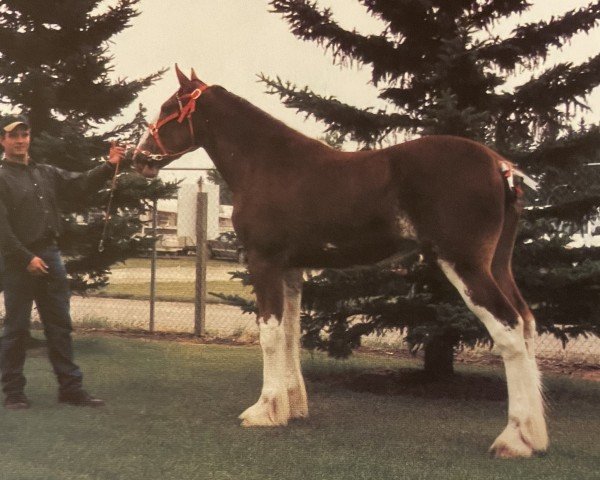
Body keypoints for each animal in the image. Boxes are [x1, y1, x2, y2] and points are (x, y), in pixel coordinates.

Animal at [135, 65, 548, 460]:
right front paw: (292, 407)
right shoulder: (291, 269)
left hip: (466, 266)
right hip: (498, 266)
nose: (139, 157)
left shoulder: (264, 263)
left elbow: (270, 334)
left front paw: (264, 410)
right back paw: (535, 436)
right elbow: (290, 332)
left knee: (509, 330)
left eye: (169, 107)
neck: (267, 163)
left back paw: (513, 439)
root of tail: (499, 165)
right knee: (527, 323)